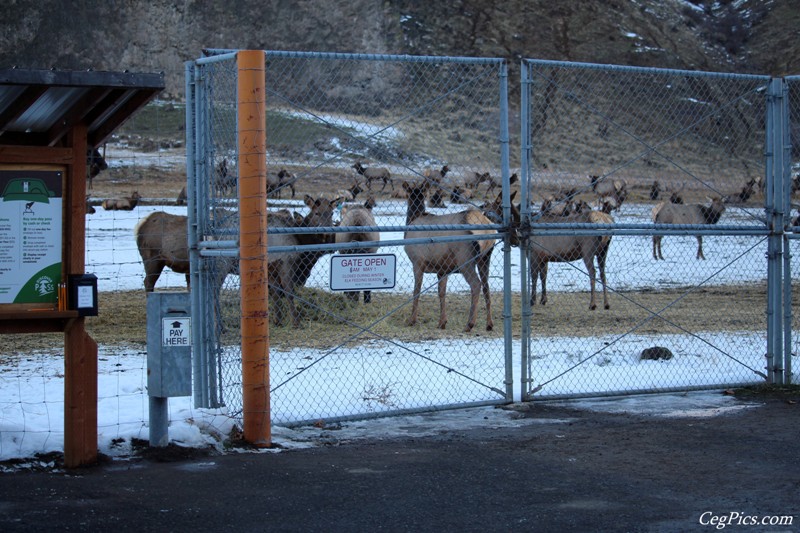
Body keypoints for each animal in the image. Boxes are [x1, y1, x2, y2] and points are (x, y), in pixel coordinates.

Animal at [404, 183, 496, 332]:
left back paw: (469, 324)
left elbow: (416, 291)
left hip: (465, 259)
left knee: (476, 284)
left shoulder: (417, 261)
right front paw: (442, 322)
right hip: (485, 258)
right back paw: (489, 324)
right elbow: (441, 293)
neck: (413, 218)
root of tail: (487, 229)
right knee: (486, 286)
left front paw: (411, 320)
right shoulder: (442, 269)